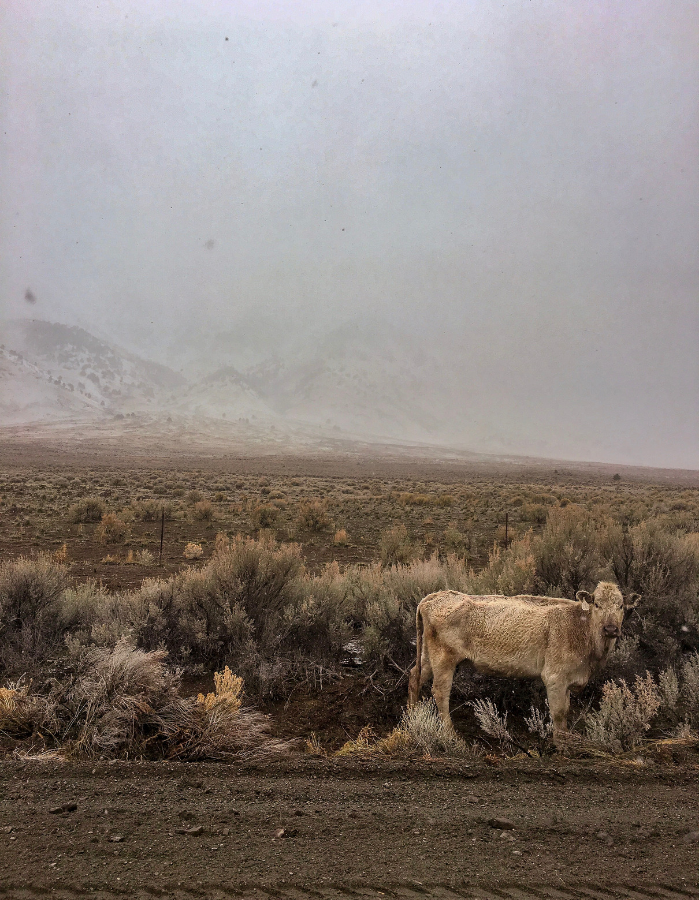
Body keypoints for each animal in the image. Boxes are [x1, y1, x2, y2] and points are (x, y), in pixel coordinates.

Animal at [404, 580, 640, 736]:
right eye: (597, 604)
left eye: (620, 606)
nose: (611, 629)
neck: (579, 626)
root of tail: (432, 598)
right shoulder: (555, 678)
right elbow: (559, 713)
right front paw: (562, 746)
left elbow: (565, 710)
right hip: (444, 659)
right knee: (440, 691)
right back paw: (451, 735)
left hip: (427, 657)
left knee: (415, 677)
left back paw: (412, 717)